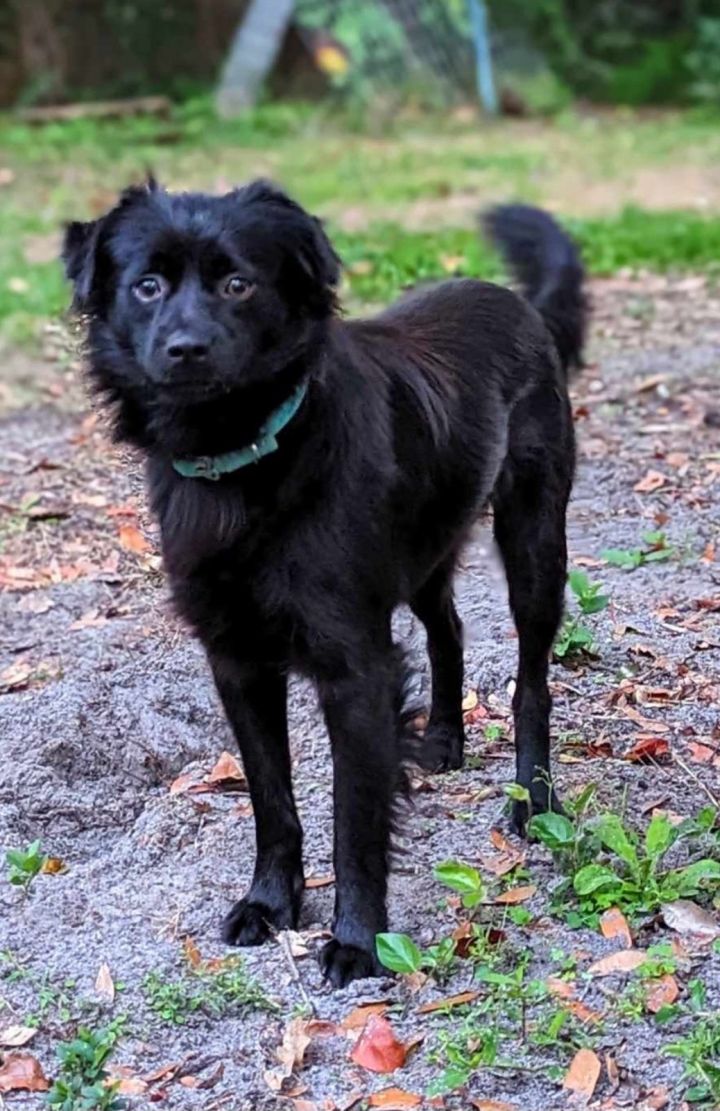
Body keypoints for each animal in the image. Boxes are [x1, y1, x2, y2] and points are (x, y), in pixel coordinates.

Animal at [63, 184, 586, 991]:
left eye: (238, 284)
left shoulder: (354, 667)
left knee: (532, 680)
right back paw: (443, 740)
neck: (247, 464)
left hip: (533, 541)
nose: (186, 349)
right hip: (425, 551)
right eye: (146, 286)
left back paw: (533, 800)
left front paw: (357, 940)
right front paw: (270, 902)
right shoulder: (238, 662)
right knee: (447, 629)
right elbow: (272, 800)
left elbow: (355, 817)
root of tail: (518, 303)